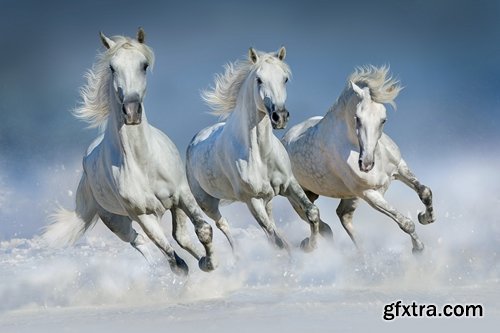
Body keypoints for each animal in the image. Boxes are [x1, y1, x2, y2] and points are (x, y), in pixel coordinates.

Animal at [43, 27, 215, 274]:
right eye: (112, 67)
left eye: (144, 65)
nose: (131, 111)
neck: (144, 163)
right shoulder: (143, 214)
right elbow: (174, 260)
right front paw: (197, 267)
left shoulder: (182, 194)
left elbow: (203, 230)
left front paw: (210, 262)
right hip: (116, 221)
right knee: (138, 240)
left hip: (174, 206)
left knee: (180, 236)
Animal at [186, 48, 334, 253]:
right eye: (259, 79)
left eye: (285, 78)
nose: (280, 116)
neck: (261, 155)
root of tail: (194, 140)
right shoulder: (252, 200)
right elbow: (275, 238)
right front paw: (304, 248)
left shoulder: (290, 184)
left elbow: (312, 212)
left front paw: (309, 246)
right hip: (207, 203)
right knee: (223, 224)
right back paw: (237, 255)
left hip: (267, 198)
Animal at [284, 65, 436, 252]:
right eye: (357, 118)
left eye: (383, 120)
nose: (366, 164)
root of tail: (284, 139)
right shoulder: (369, 193)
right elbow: (406, 223)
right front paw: (418, 249)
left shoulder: (399, 168)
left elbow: (425, 191)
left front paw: (425, 217)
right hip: (298, 197)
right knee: (316, 219)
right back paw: (309, 245)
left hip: (349, 197)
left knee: (343, 215)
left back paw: (362, 253)